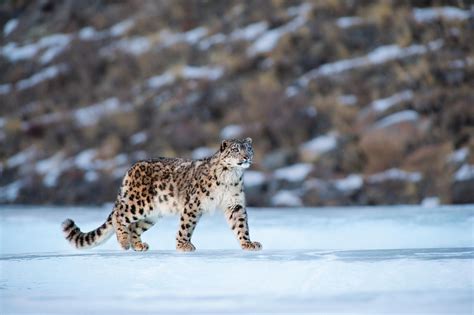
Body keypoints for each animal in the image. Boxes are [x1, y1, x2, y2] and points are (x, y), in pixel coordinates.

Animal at [60, 137, 262, 253]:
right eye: (235, 149)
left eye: (248, 148)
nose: (246, 157)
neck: (231, 176)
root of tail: (131, 168)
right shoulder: (193, 204)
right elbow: (186, 226)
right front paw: (183, 245)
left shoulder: (234, 204)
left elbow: (241, 226)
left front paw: (248, 244)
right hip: (138, 204)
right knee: (119, 215)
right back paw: (124, 242)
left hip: (152, 214)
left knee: (135, 227)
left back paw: (139, 246)